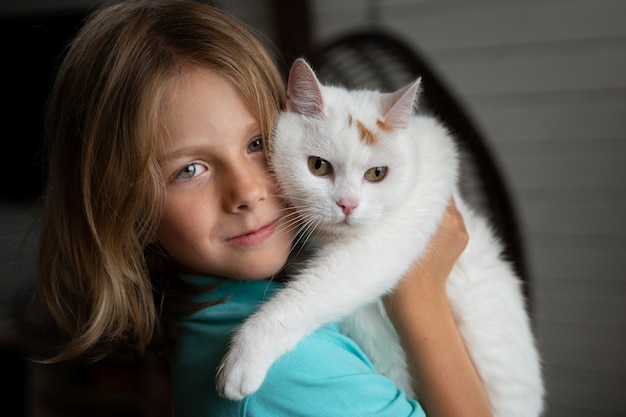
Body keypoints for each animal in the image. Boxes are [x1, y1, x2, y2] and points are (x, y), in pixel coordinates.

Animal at [216, 58, 540, 416]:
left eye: (377, 174)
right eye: (318, 166)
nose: (347, 204)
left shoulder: (384, 240)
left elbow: (309, 294)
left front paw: (245, 355)